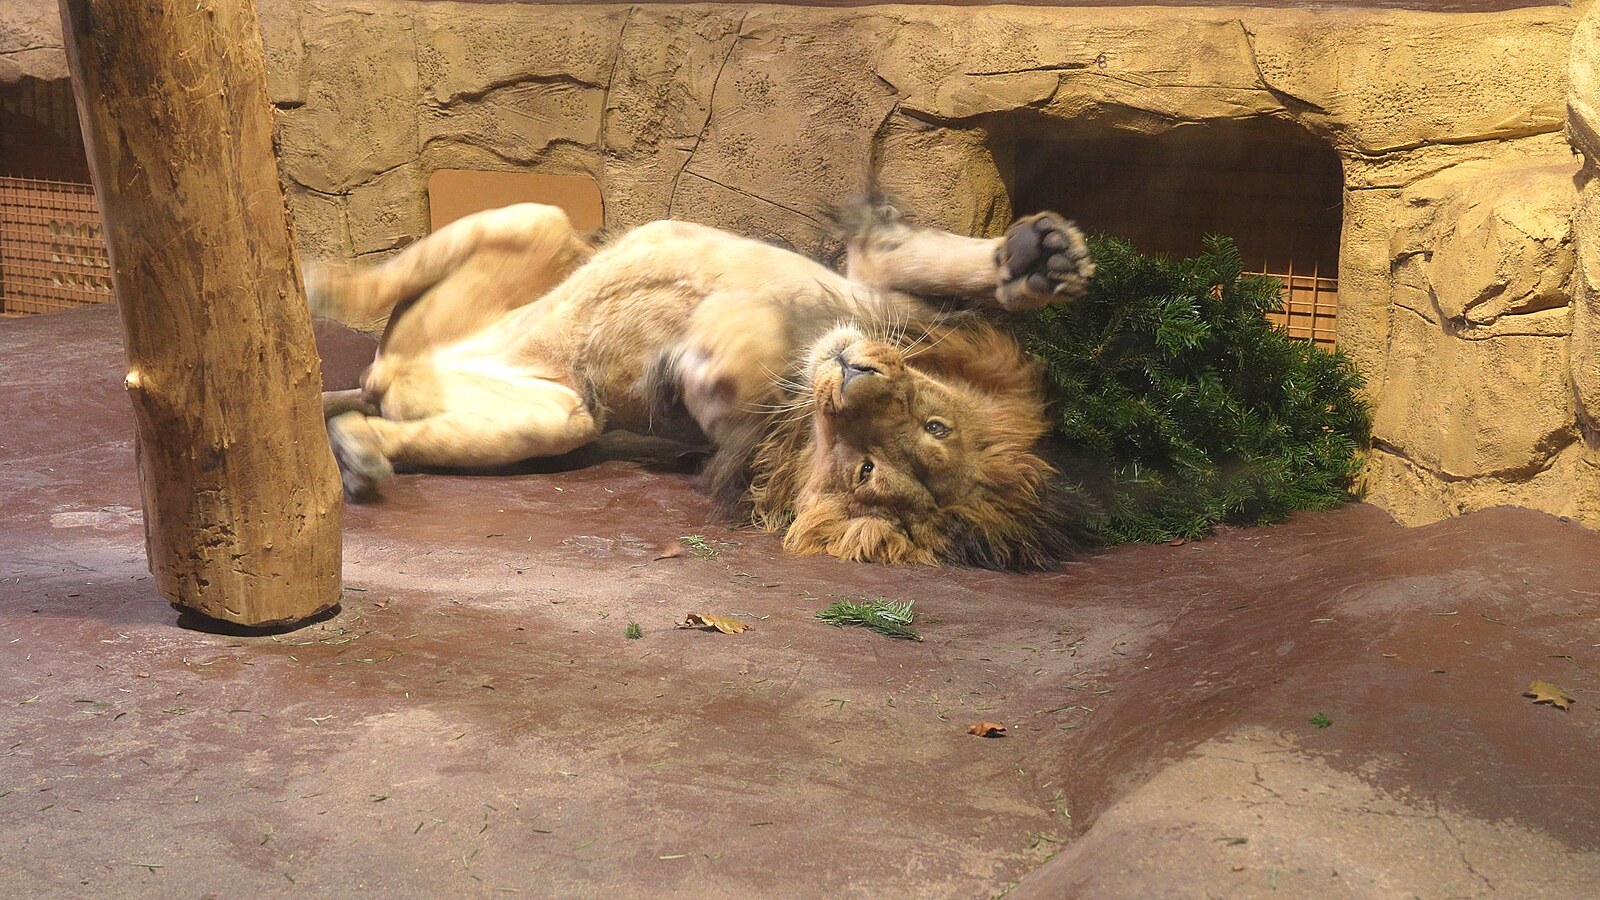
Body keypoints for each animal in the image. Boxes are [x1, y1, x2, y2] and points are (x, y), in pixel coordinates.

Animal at [310, 199, 1097, 569]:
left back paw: (361, 453)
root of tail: (393, 371)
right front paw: (1039, 258)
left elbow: (736, 368)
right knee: (382, 282)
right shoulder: (867, 283)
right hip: (540, 225)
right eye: (936, 423)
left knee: (384, 420)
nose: (855, 374)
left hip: (562, 413)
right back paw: (320, 282)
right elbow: (907, 258)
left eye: (869, 469)